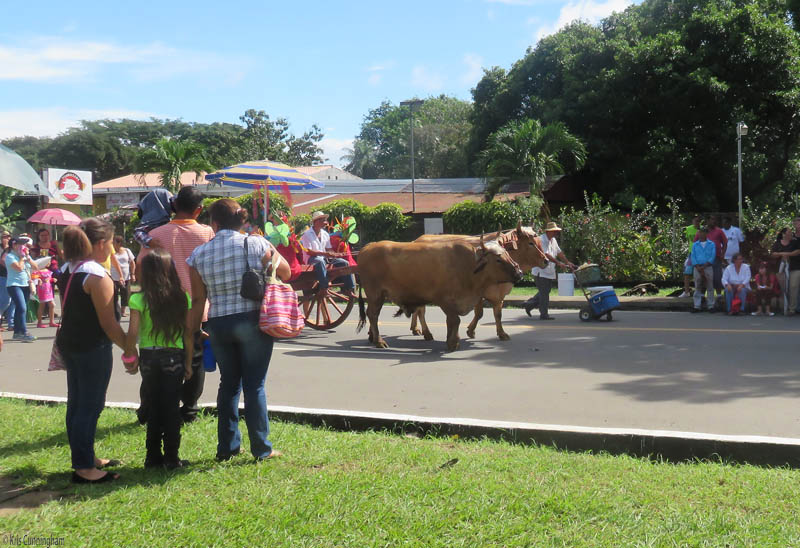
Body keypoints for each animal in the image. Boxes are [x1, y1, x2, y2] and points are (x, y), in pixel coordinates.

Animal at [356, 236, 524, 351]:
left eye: (507, 253)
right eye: (498, 259)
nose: (519, 273)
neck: (466, 266)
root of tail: (368, 247)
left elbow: (454, 321)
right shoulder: (445, 300)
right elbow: (455, 320)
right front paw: (453, 342)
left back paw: (372, 337)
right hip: (375, 294)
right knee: (373, 315)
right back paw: (379, 341)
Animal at [410, 222, 547, 341]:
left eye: (538, 241)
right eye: (530, 243)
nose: (546, 260)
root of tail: (416, 240)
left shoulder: (499, 295)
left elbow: (498, 314)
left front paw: (501, 333)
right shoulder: (478, 294)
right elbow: (479, 313)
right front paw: (471, 330)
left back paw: (415, 328)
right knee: (421, 311)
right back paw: (426, 332)